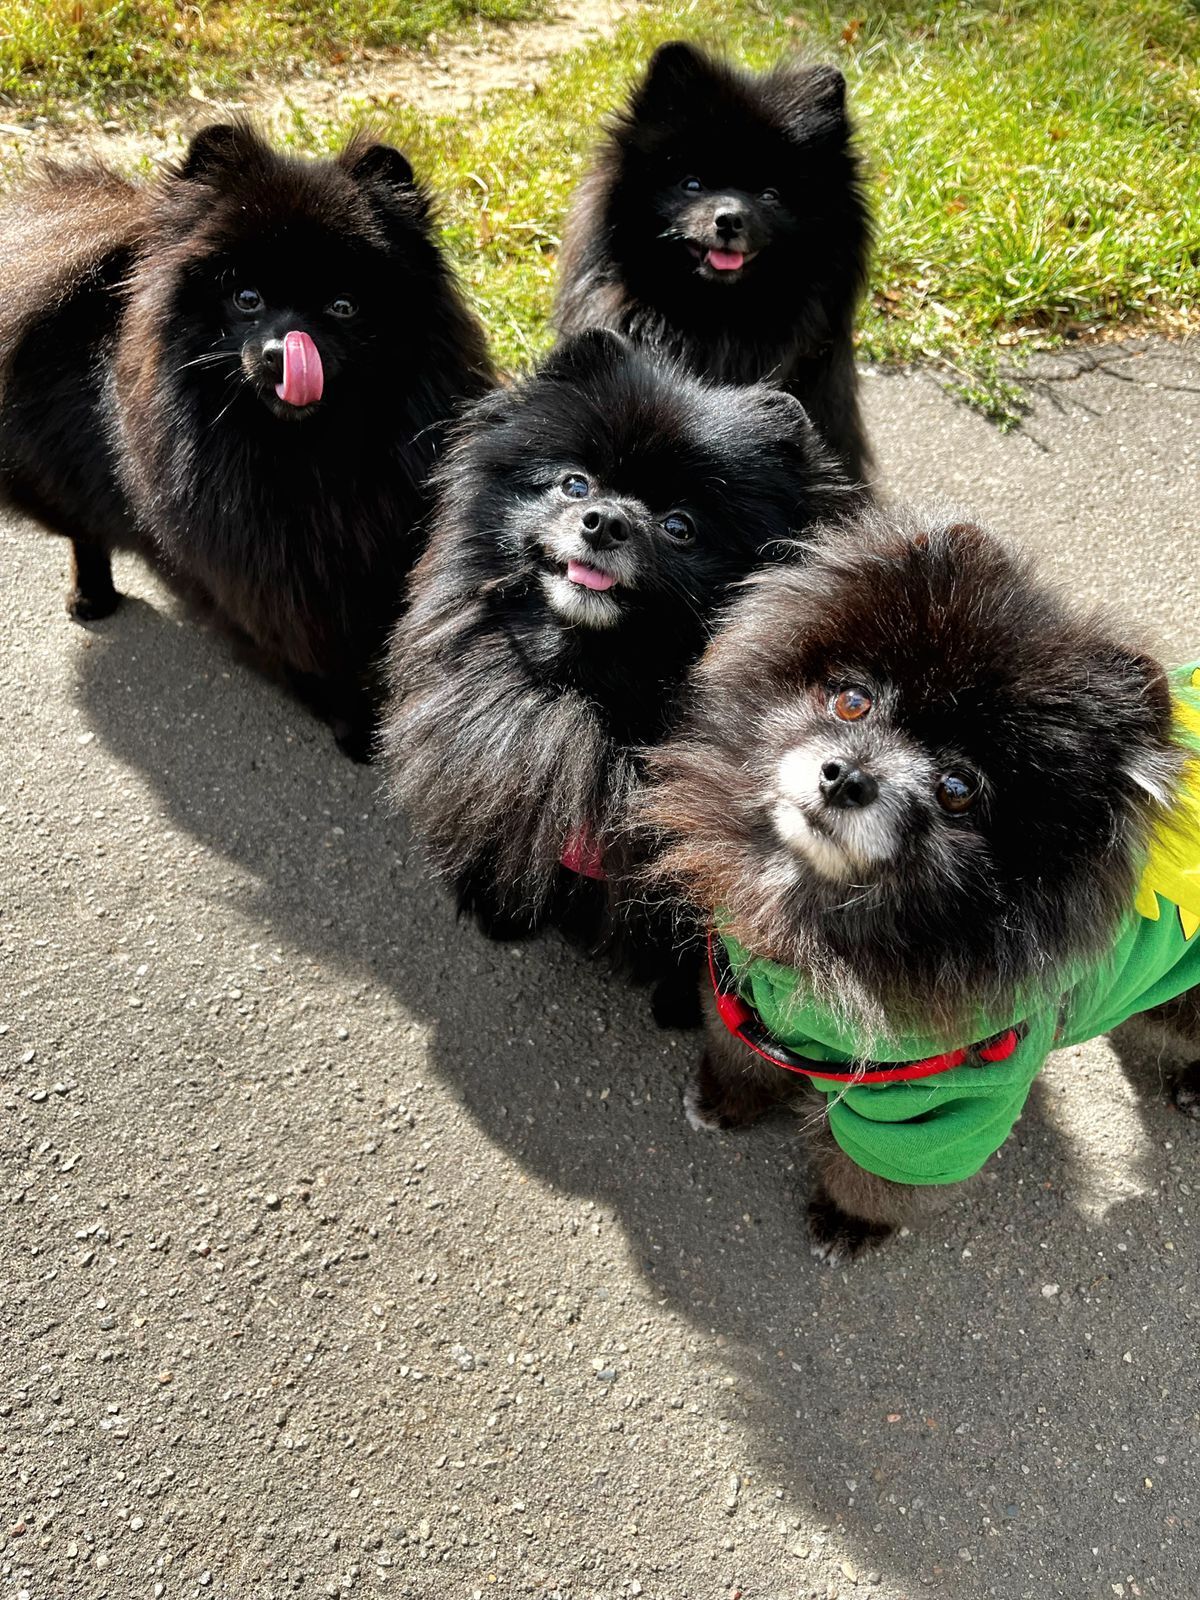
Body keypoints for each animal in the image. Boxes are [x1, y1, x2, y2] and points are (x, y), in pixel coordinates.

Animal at [0, 121, 492, 758]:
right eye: (247, 299)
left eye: (344, 306)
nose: (287, 351)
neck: (307, 459)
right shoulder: (267, 582)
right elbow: (317, 661)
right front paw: (355, 725)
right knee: (84, 532)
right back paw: (93, 595)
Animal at [649, 512, 1200, 1260]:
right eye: (853, 700)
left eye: (958, 788)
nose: (847, 776)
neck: (822, 919)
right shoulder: (747, 995)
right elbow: (742, 1055)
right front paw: (727, 1098)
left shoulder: (944, 1100)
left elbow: (883, 1175)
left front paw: (850, 1222)